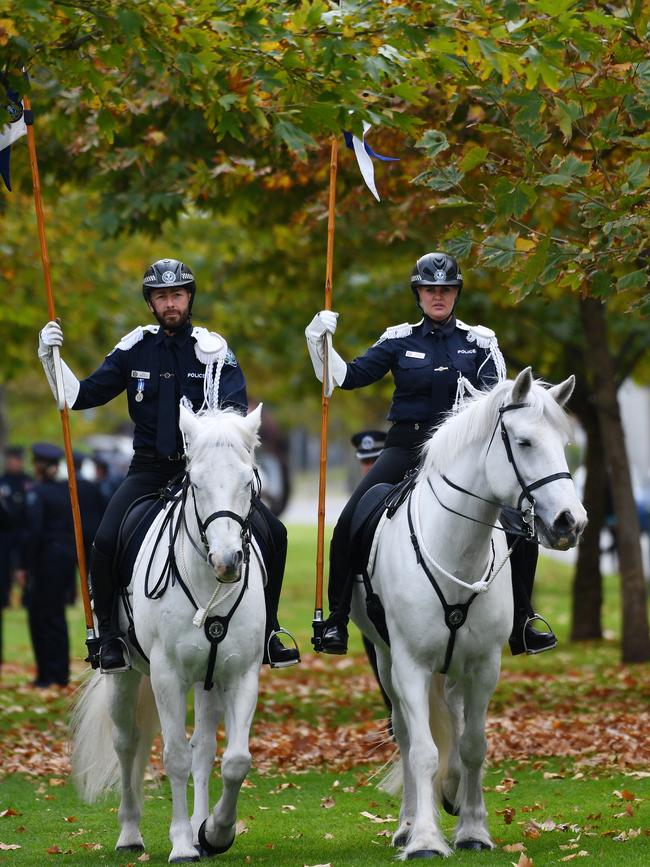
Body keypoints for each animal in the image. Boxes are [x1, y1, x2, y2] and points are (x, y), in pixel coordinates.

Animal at [73, 406, 268, 860]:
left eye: (248, 481)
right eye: (195, 482)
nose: (228, 561)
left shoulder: (241, 675)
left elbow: (235, 759)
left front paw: (215, 832)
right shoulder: (167, 677)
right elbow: (175, 756)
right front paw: (181, 843)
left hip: (208, 681)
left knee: (205, 749)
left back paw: (200, 827)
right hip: (125, 677)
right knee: (127, 743)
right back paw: (130, 834)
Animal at [352, 368, 584, 860]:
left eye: (564, 442)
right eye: (524, 442)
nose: (570, 523)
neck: (456, 551)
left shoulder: (483, 666)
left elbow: (474, 745)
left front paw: (474, 830)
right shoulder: (411, 665)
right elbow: (422, 751)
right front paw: (423, 839)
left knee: (456, 729)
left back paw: (452, 792)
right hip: (386, 661)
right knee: (406, 736)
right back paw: (407, 824)